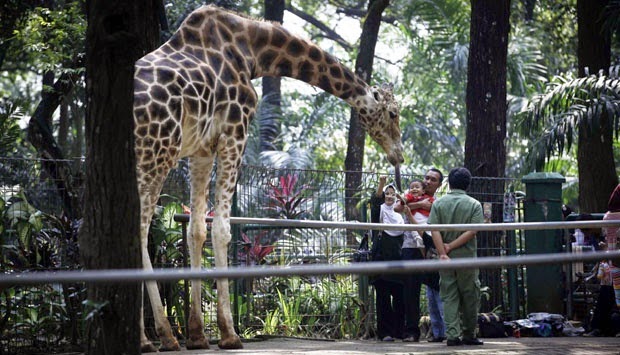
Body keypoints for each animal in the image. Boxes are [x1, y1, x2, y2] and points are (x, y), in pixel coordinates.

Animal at [133, 4, 404, 352]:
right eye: (394, 113)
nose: (399, 155)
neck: (253, 51)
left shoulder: (202, 149)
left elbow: (196, 231)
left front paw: (197, 334)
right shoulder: (235, 131)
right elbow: (221, 229)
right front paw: (229, 333)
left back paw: (158, 336)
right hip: (156, 152)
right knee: (138, 229)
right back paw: (155, 337)